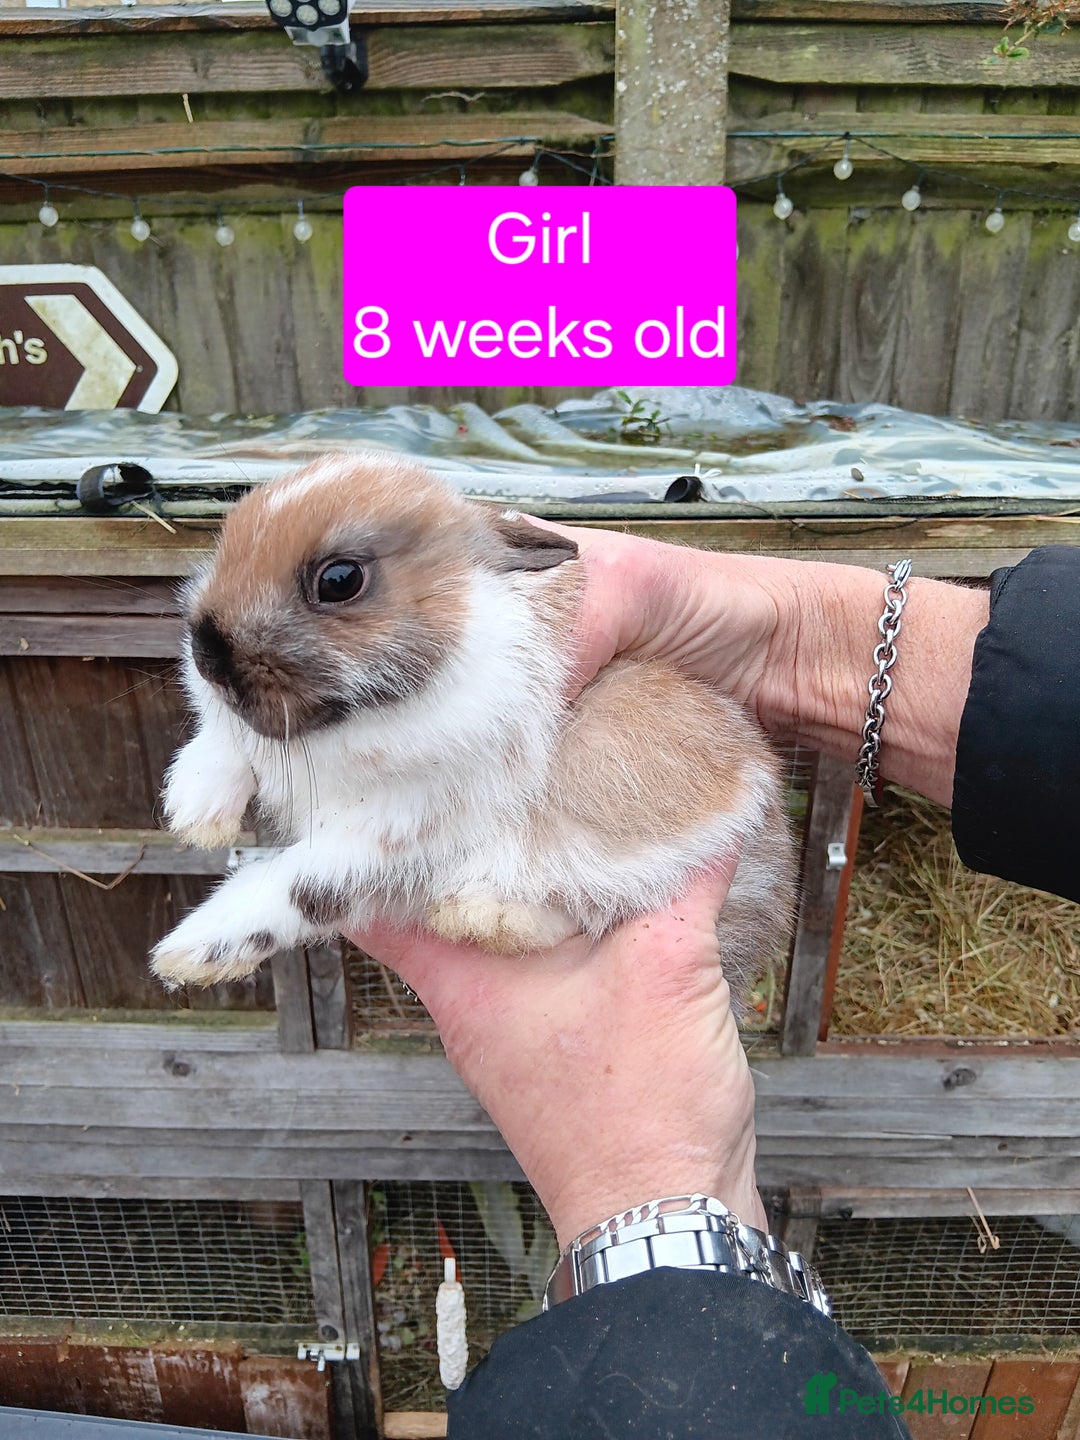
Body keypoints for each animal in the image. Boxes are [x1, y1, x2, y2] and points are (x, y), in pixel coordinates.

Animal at [152, 452, 796, 1011]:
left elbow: (302, 885)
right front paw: (195, 811)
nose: (207, 656)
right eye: (228, 543)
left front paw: (192, 951)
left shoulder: (397, 829)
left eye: (340, 579)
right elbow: (227, 739)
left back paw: (484, 917)